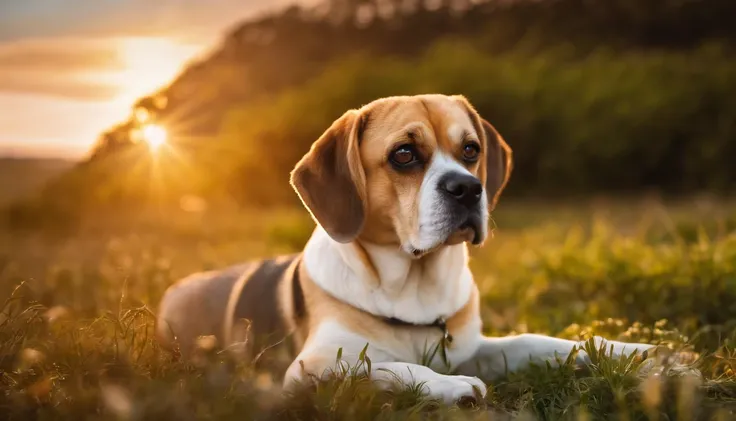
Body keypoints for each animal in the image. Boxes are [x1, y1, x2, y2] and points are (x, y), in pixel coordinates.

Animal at [155, 94, 656, 404]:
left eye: (471, 150)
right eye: (403, 155)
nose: (468, 188)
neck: (415, 284)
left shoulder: (473, 346)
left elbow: (540, 342)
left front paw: (632, 350)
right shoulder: (312, 368)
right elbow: (389, 367)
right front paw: (454, 387)